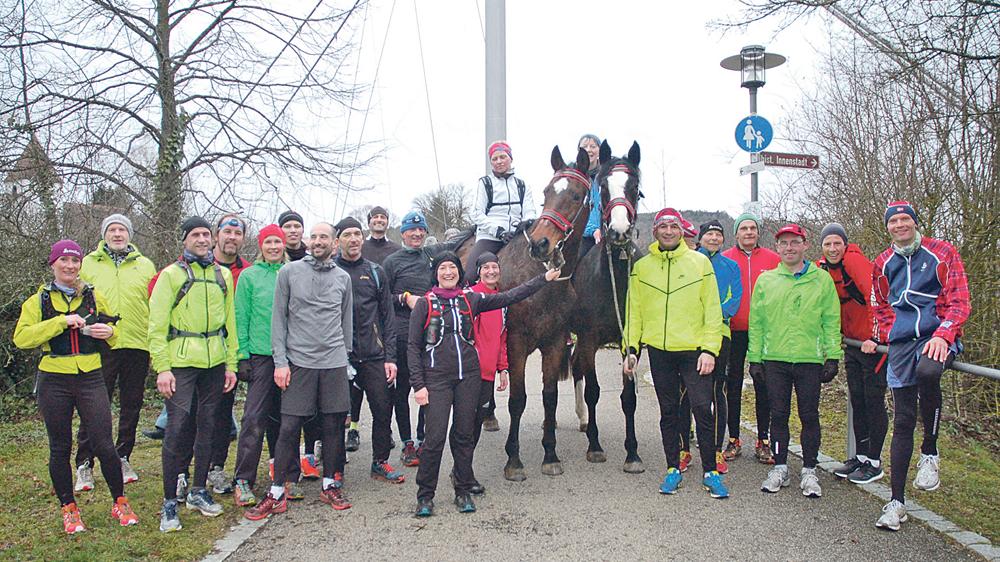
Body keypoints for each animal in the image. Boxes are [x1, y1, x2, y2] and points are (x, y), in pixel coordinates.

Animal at [456, 143, 588, 476]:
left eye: (576, 195)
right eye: (547, 191)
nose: (541, 244)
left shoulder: (555, 343)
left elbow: (550, 398)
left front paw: (550, 454)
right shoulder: (515, 343)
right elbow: (517, 399)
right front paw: (513, 459)